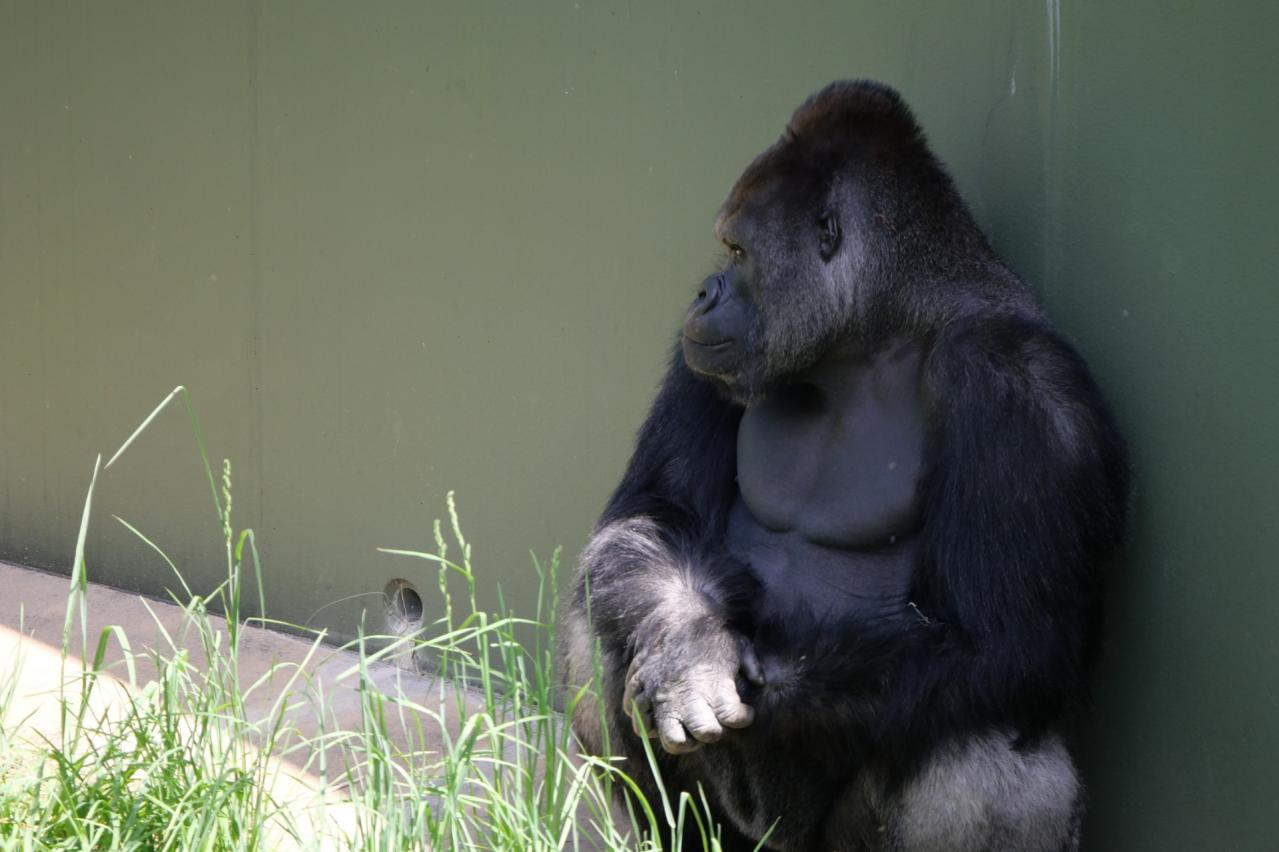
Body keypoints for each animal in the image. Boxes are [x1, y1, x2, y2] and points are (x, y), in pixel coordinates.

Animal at [560, 81, 1130, 849]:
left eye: (737, 250)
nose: (704, 290)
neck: (877, 330)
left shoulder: (1020, 383)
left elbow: (1000, 638)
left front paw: (741, 681)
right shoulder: (703, 361)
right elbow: (654, 515)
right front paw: (687, 644)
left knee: (981, 747)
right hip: (739, 837)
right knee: (597, 625)